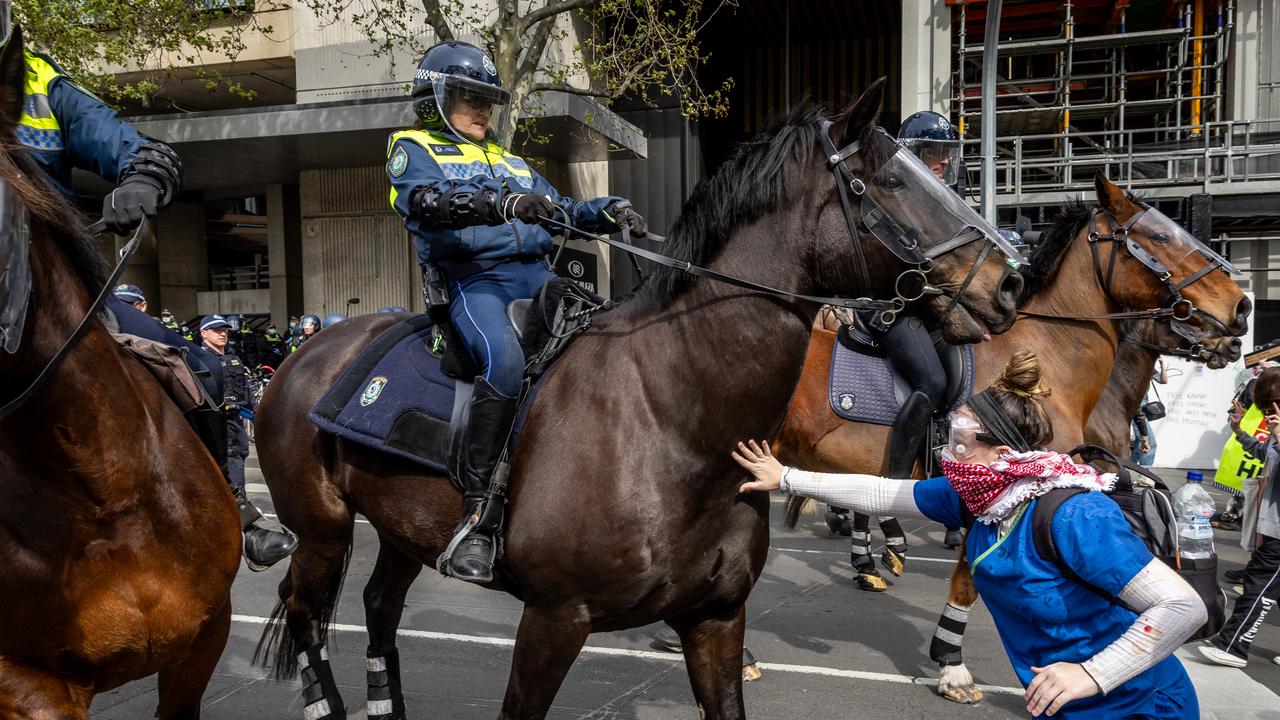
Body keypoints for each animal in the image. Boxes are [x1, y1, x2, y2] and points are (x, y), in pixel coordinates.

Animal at [254, 78, 1024, 717]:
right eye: (891, 180)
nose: (1009, 282)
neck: (674, 420)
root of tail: (305, 352)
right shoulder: (554, 620)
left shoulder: (716, 620)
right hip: (322, 531)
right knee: (306, 613)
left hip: (398, 529)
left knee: (378, 609)